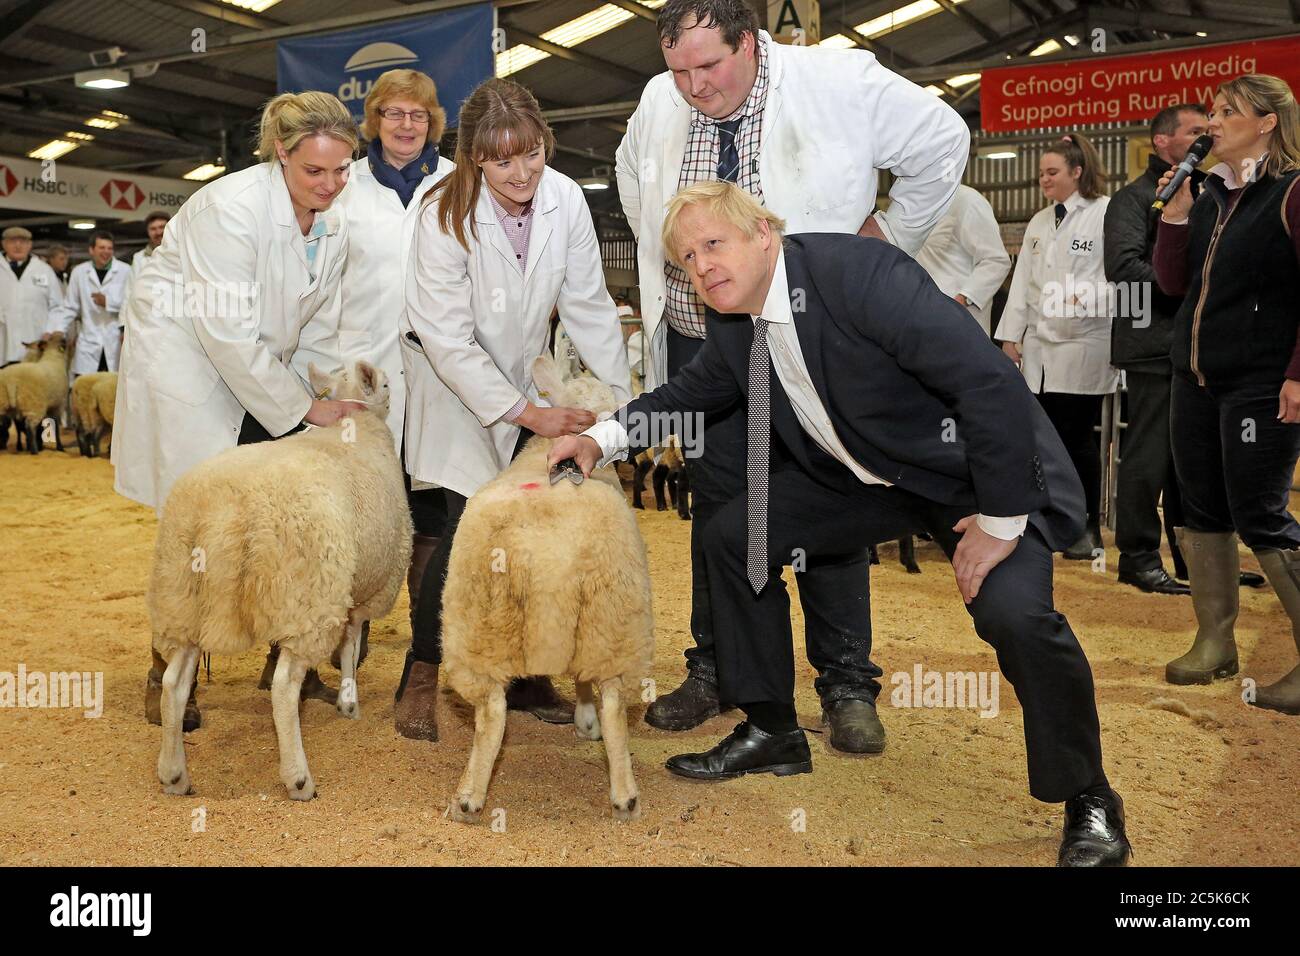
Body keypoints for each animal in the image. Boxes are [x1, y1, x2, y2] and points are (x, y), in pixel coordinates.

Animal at [150, 361, 410, 806]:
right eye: (387, 383)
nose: (396, 391)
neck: (357, 423)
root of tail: (219, 509)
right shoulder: (360, 592)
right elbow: (350, 645)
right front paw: (349, 703)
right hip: (306, 596)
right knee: (284, 687)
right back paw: (299, 779)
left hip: (181, 598)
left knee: (173, 685)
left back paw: (174, 775)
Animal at [444, 356, 650, 827]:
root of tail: (543, 554)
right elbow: (586, 682)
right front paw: (585, 719)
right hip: (612, 621)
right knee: (614, 707)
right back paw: (625, 795)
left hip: (477, 627)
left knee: (491, 714)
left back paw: (468, 798)